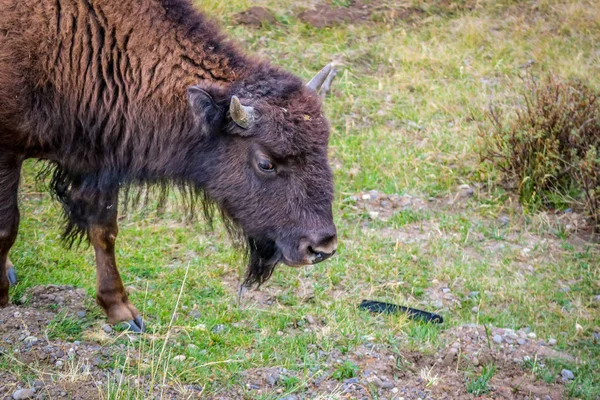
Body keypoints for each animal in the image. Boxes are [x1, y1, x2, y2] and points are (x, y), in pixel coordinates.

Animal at [0, 0, 338, 332]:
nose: (322, 247)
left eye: (323, 146)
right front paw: (2, 297)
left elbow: (104, 230)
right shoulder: (8, 154)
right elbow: (8, 227)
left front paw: (121, 311)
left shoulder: (97, 162)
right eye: (265, 163)